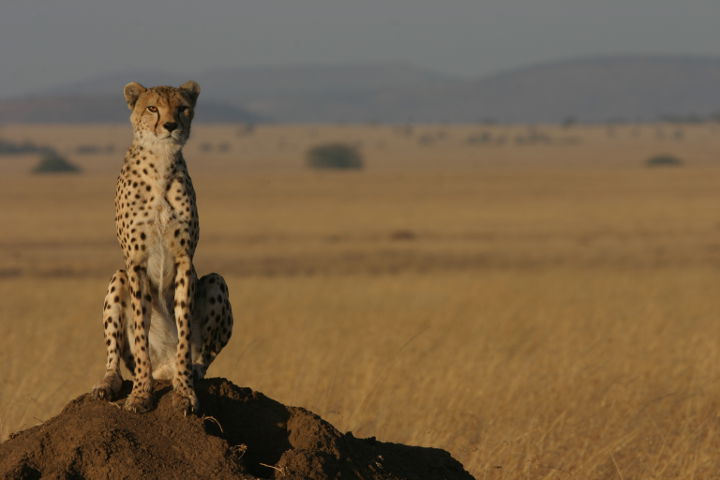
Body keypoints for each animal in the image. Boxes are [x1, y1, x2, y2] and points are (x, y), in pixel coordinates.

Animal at [90, 80, 233, 414]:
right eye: (152, 107)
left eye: (182, 107)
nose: (170, 125)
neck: (161, 163)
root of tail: (163, 369)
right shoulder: (136, 263)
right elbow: (141, 336)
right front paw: (141, 394)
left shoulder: (184, 259)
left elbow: (184, 334)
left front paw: (184, 391)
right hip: (118, 278)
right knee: (115, 358)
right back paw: (108, 384)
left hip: (216, 282)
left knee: (203, 355)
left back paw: (192, 372)